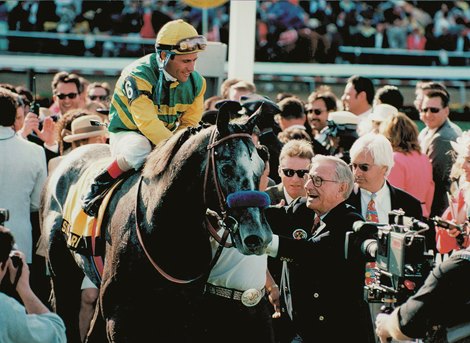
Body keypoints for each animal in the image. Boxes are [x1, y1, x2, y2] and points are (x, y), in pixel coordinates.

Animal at [43, 103, 276, 343]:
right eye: (226, 168)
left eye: (261, 167)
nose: (258, 236)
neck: (162, 230)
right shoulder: (120, 319)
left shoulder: (183, 316)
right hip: (61, 268)